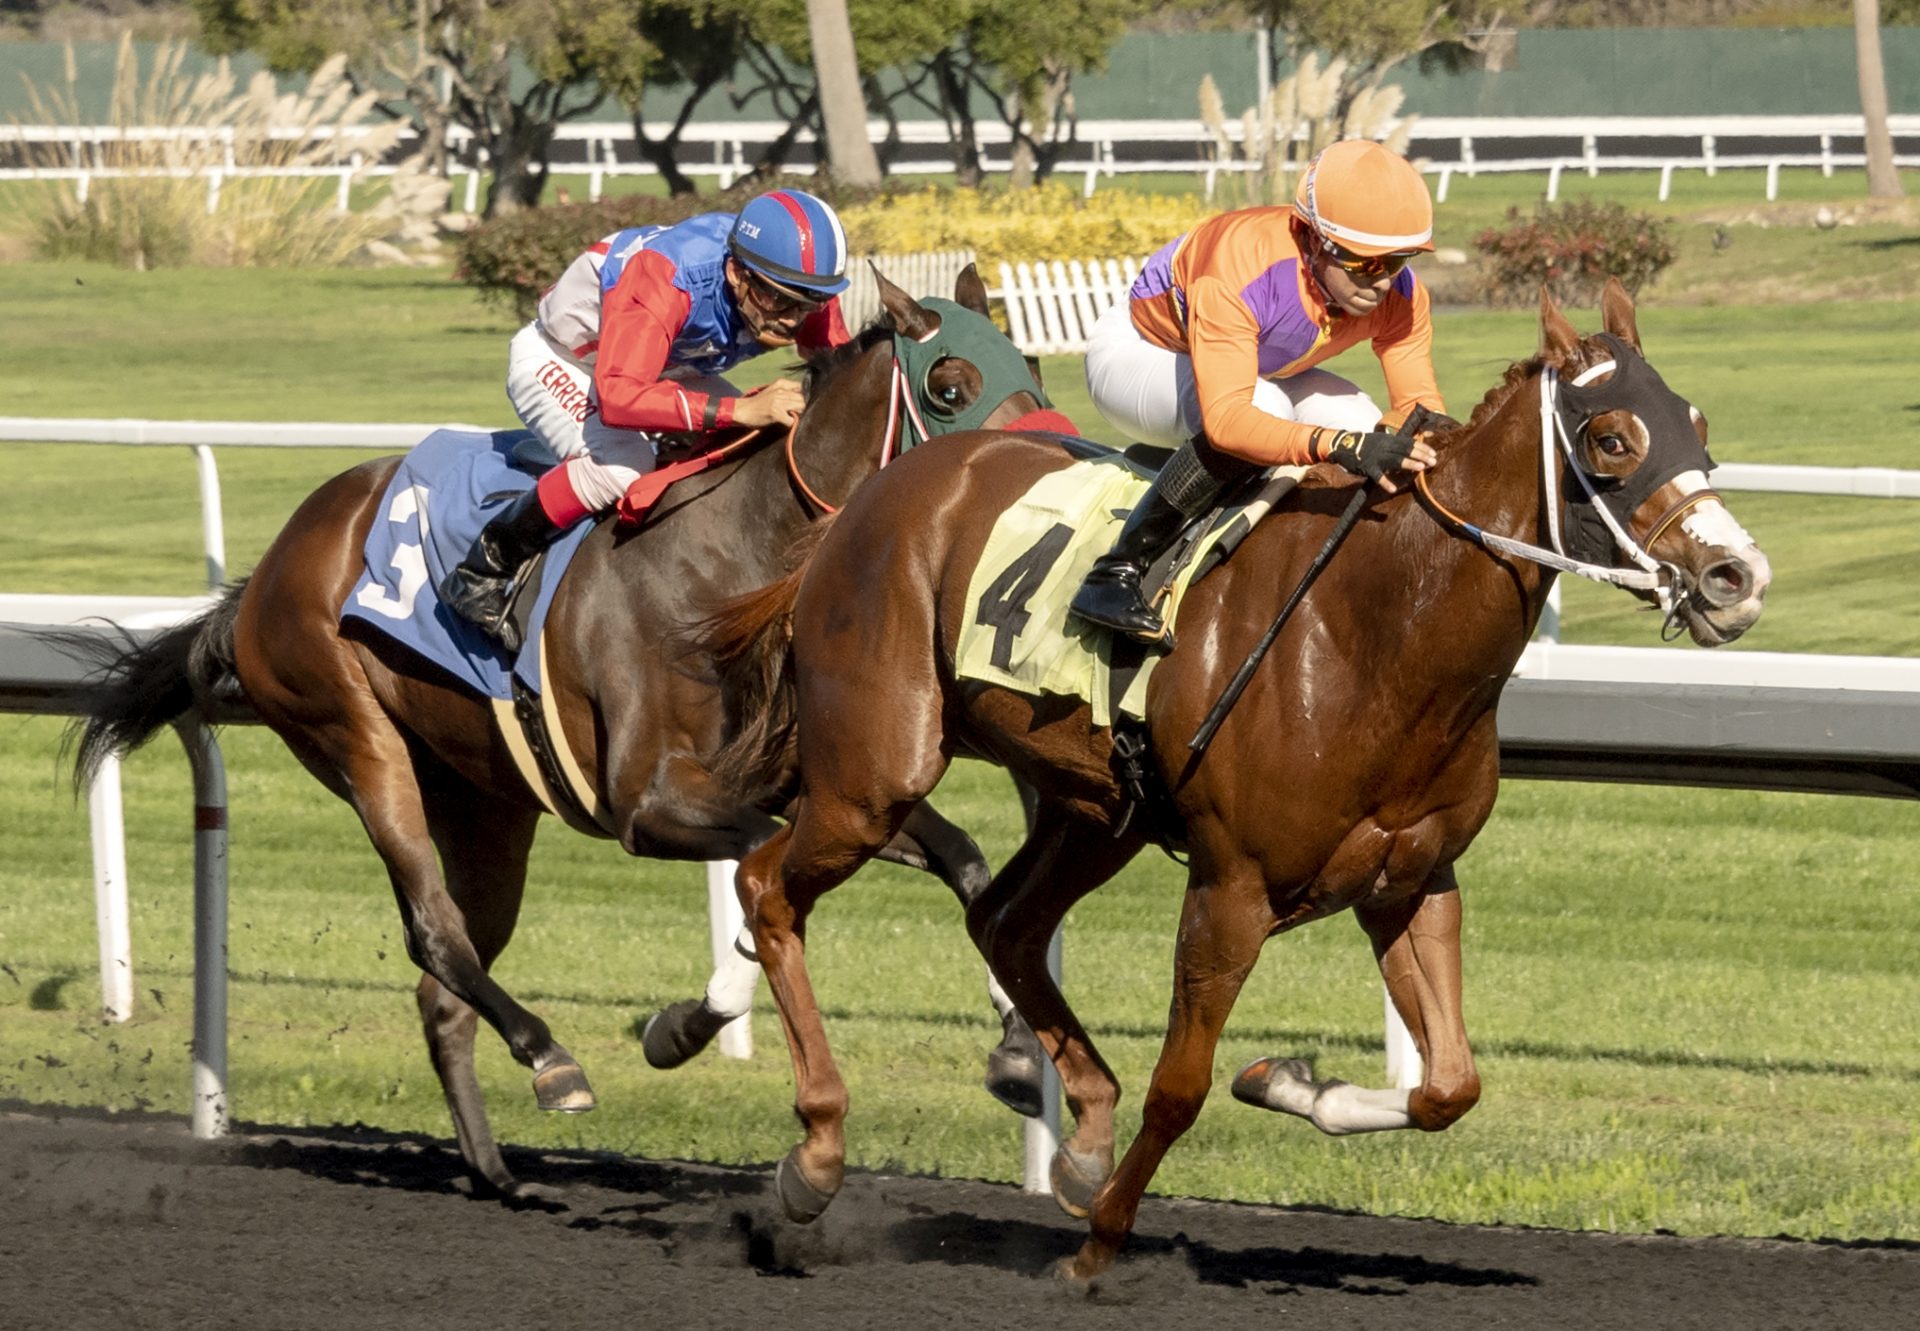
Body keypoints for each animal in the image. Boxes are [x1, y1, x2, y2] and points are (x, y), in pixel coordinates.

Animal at [67, 266, 1052, 1190]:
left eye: (1034, 367)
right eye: (951, 384)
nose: (1038, 472)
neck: (743, 560)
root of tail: (268, 567)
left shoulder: (816, 787)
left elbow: (963, 858)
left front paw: (1015, 1050)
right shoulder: (649, 805)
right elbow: (755, 872)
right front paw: (685, 1023)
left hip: (486, 803)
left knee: (445, 983)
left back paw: (496, 1171)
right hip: (355, 735)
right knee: (434, 931)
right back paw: (551, 1059)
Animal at [702, 282, 1766, 1275]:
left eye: (1699, 424)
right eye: (1613, 437)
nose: (1738, 578)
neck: (1377, 633)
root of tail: (873, 497)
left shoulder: (1410, 880)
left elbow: (1449, 1085)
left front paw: (1287, 1081)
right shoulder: (1233, 889)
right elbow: (1181, 1086)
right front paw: (1099, 1248)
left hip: (1098, 809)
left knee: (1005, 921)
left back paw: (1082, 1137)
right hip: (874, 776)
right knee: (768, 886)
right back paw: (817, 1156)